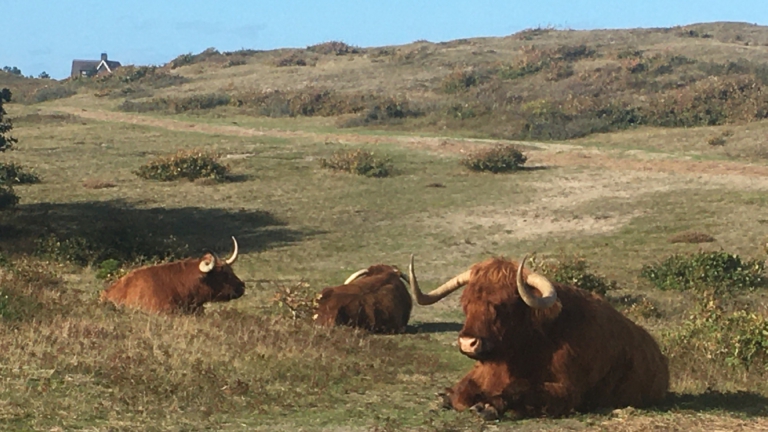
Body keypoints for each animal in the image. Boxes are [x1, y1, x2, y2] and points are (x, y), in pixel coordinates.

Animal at [408, 255, 664, 420]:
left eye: (503, 304)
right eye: (466, 302)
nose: (468, 343)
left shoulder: (565, 391)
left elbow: (520, 389)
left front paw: (488, 406)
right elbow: (461, 392)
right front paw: (446, 396)